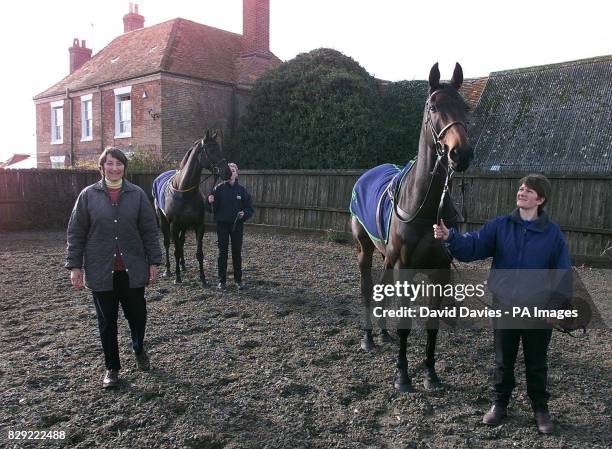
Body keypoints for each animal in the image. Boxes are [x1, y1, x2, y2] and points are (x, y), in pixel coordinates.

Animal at [152, 130, 231, 286]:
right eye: (211, 150)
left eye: (219, 148)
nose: (228, 172)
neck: (185, 190)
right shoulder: (174, 225)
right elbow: (175, 251)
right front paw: (177, 278)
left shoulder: (198, 225)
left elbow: (199, 253)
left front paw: (203, 278)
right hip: (164, 221)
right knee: (167, 244)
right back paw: (168, 270)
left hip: (184, 226)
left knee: (181, 242)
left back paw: (183, 266)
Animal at [352, 63, 470, 392]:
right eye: (433, 107)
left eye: (465, 107)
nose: (460, 153)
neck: (426, 208)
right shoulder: (404, 267)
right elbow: (405, 324)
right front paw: (403, 376)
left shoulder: (439, 271)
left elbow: (432, 326)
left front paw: (430, 374)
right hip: (365, 249)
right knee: (367, 289)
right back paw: (369, 338)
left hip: (386, 257)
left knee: (382, 288)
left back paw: (383, 333)